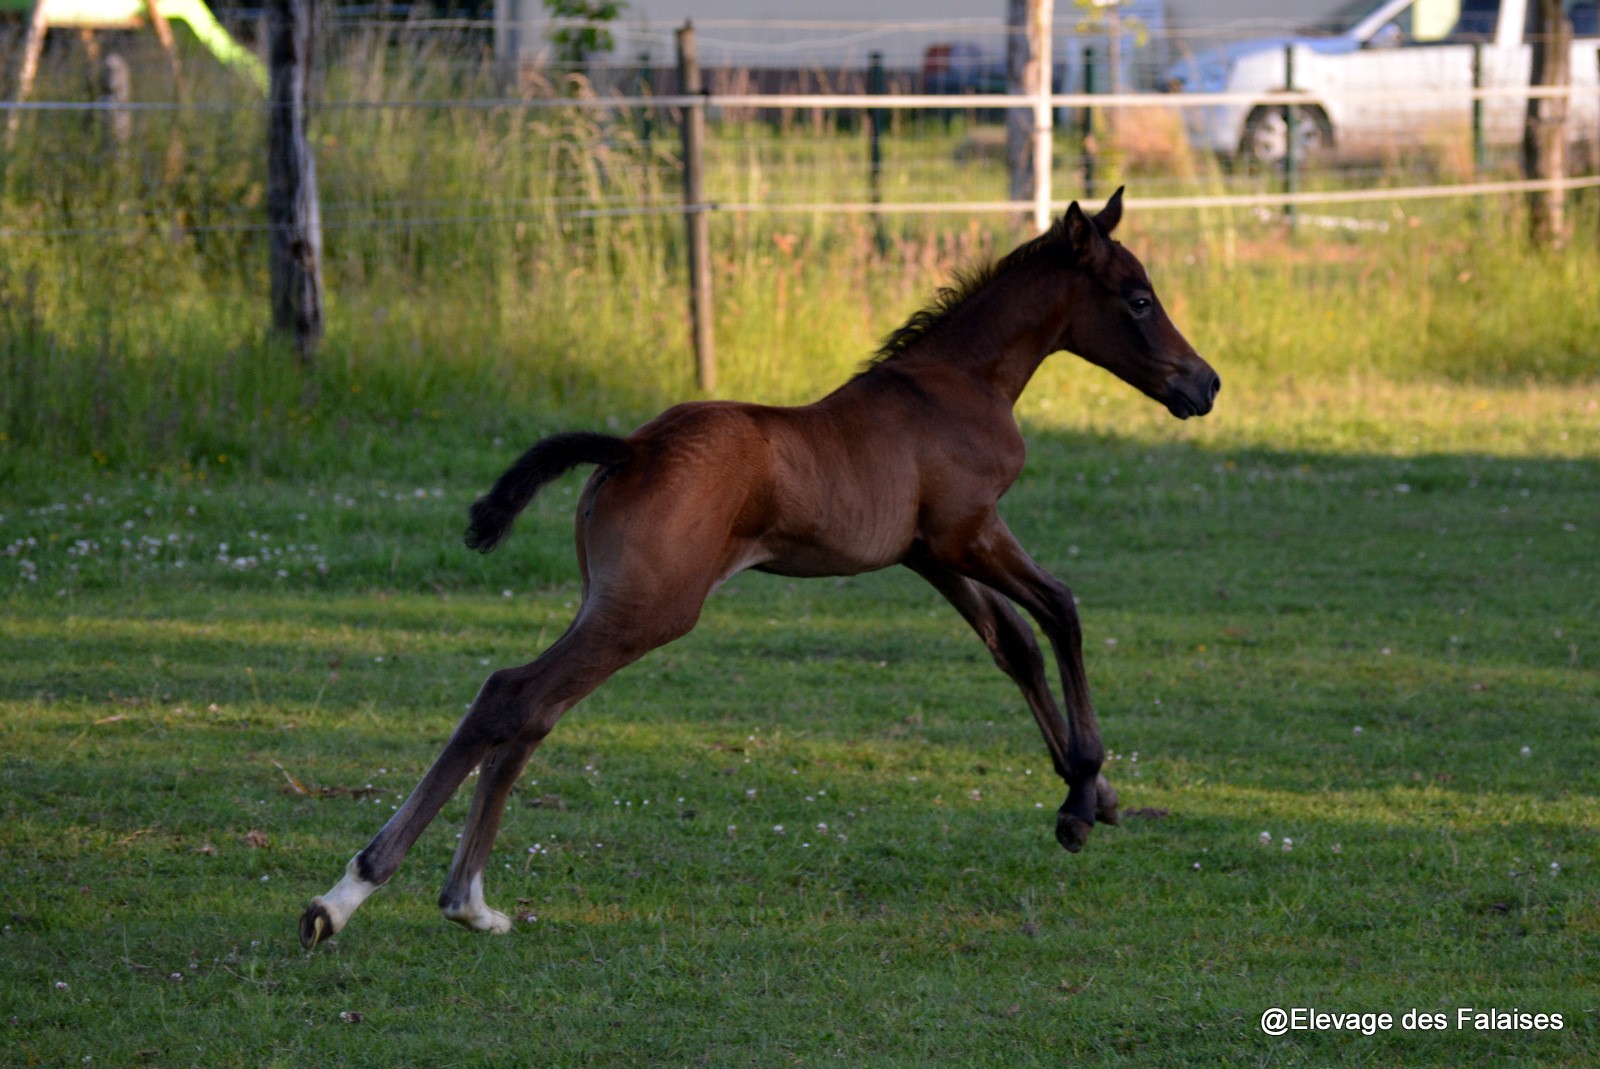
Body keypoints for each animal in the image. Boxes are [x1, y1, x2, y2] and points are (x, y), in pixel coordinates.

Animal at [302, 189, 1222, 940]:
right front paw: (1081, 796)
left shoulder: (928, 553)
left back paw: (466, 902)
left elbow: (1015, 646)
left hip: (609, 598)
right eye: (1139, 298)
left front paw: (1092, 794)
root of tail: (635, 445)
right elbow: (1061, 610)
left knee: (528, 709)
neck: (955, 384)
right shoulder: (971, 530)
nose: (1204, 384)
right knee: (514, 696)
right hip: (652, 608)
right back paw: (363, 898)